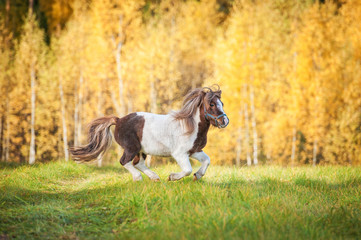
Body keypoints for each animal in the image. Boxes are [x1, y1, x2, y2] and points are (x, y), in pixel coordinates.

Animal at [69, 85, 229, 181]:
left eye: (222, 103)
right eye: (211, 104)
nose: (224, 121)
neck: (191, 127)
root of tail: (118, 120)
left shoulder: (194, 151)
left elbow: (206, 160)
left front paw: (198, 176)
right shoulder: (180, 154)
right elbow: (187, 170)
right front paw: (172, 177)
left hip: (141, 150)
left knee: (138, 163)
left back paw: (154, 177)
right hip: (132, 148)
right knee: (125, 161)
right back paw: (138, 178)